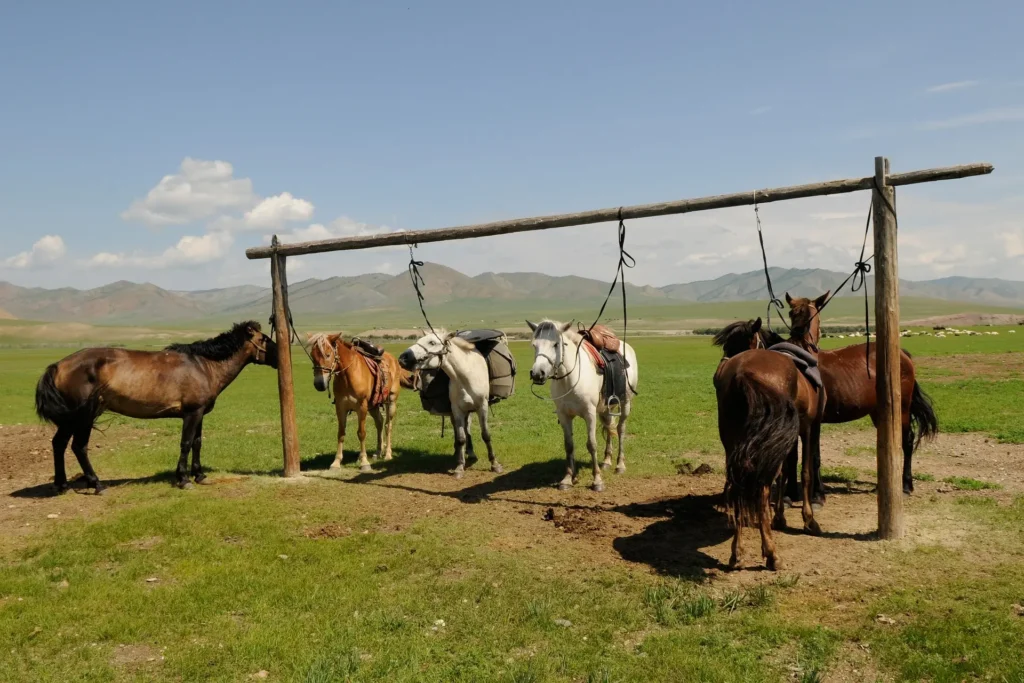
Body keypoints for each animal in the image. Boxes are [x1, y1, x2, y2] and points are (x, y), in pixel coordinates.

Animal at [34, 321, 277, 493]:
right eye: (264, 338)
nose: (280, 357)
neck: (203, 365)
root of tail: (58, 366)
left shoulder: (199, 414)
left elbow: (197, 443)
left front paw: (199, 475)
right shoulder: (191, 413)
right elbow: (186, 444)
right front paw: (183, 479)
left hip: (71, 419)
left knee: (58, 443)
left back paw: (61, 484)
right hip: (84, 416)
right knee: (79, 447)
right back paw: (97, 484)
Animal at [307, 333, 414, 473]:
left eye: (328, 354)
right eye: (312, 356)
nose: (319, 384)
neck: (348, 375)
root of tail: (395, 361)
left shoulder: (361, 407)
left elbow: (361, 433)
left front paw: (364, 462)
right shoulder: (341, 407)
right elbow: (341, 433)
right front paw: (336, 462)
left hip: (390, 402)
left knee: (387, 426)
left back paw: (387, 454)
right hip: (373, 405)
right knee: (379, 422)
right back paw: (377, 452)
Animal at [398, 329, 503, 478]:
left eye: (432, 342)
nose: (402, 358)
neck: (465, 376)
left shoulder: (482, 407)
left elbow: (486, 435)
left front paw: (495, 464)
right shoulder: (457, 410)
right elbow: (460, 437)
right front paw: (459, 467)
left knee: (468, 427)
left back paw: (470, 453)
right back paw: (459, 453)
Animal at [526, 320, 639, 492]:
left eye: (556, 344)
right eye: (534, 345)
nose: (538, 374)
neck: (569, 380)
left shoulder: (589, 414)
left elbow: (591, 444)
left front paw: (597, 481)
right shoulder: (564, 415)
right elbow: (569, 445)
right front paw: (567, 479)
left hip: (625, 404)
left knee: (620, 430)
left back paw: (620, 465)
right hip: (606, 408)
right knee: (609, 427)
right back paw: (607, 461)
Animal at [714, 293, 828, 570]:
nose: (717, 374)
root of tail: (741, 374)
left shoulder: (784, 437)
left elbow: (786, 472)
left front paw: (780, 517)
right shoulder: (809, 427)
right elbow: (804, 472)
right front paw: (808, 520)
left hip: (734, 442)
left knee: (738, 486)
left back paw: (737, 553)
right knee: (761, 487)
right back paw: (771, 554)